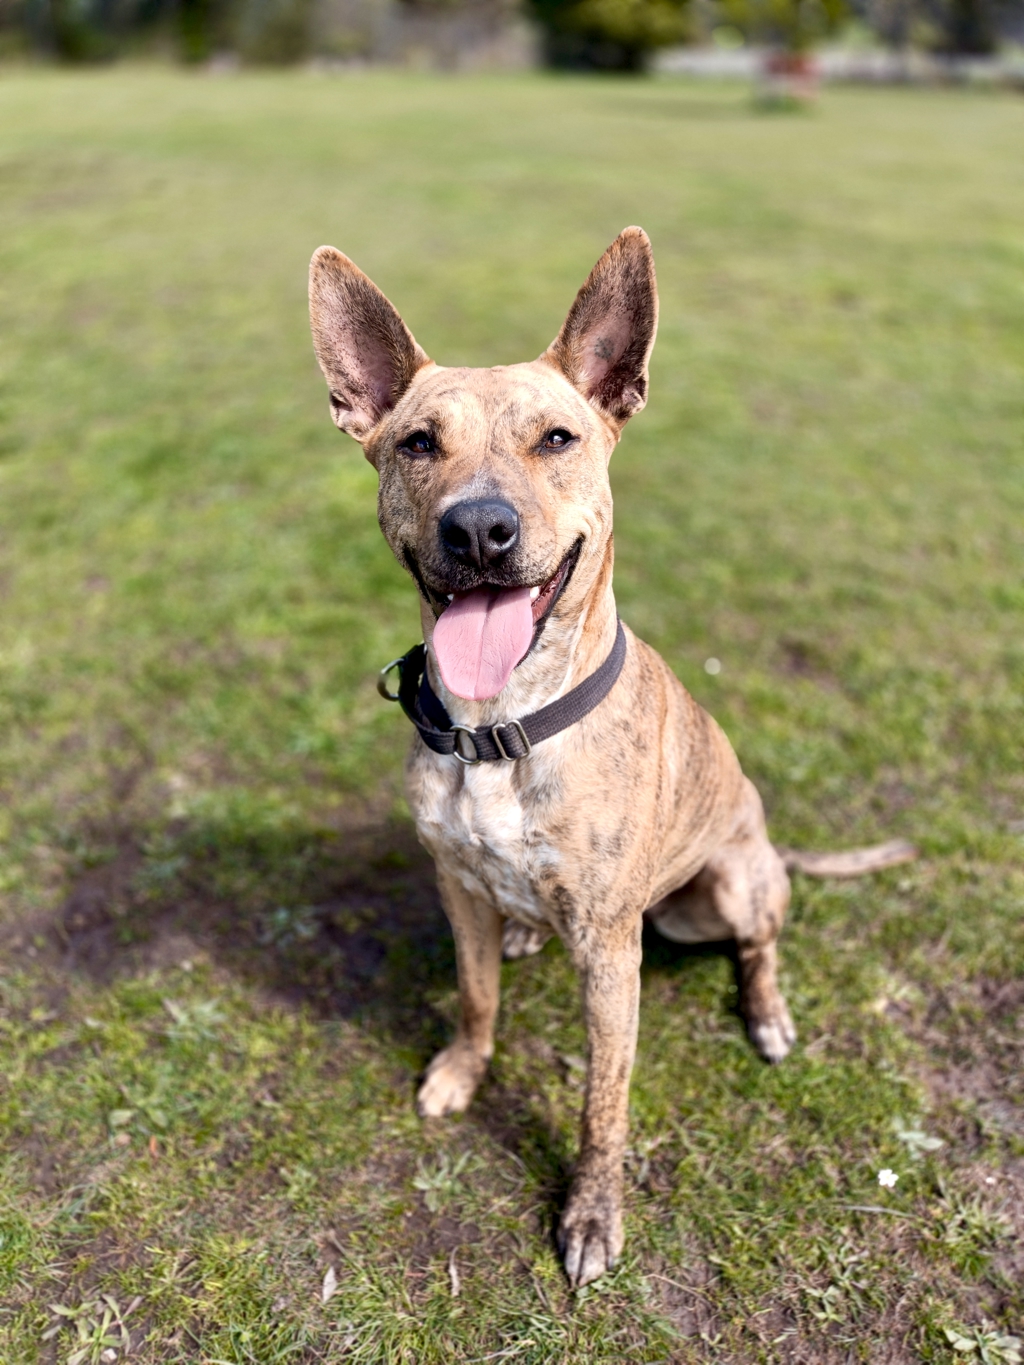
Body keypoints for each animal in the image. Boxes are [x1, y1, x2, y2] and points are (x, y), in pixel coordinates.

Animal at [308, 228, 915, 1288]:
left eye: (558, 438)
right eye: (418, 442)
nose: (479, 528)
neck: (500, 727)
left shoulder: (607, 949)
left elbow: (604, 1100)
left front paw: (591, 1212)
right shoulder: (456, 887)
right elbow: (475, 998)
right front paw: (462, 1069)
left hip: (722, 890)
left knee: (760, 943)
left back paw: (766, 1013)